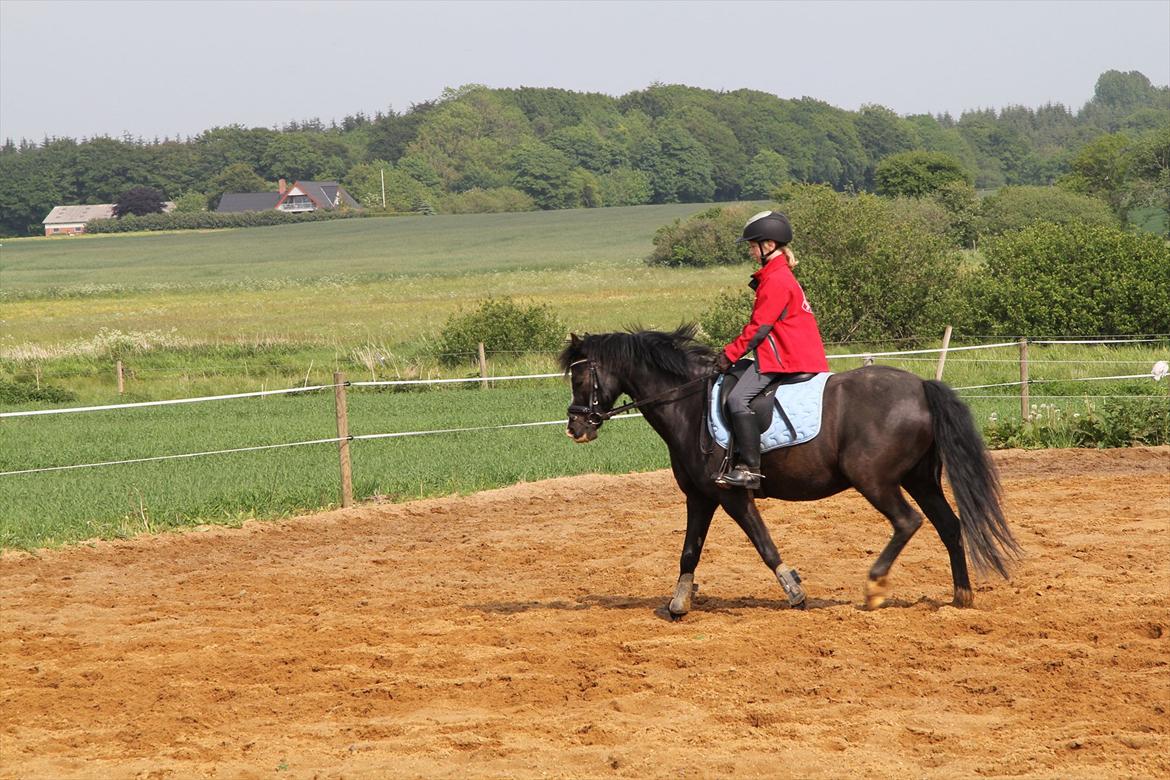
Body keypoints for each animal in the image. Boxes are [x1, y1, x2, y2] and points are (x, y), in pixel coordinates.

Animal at [561, 327, 1020, 617]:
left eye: (581, 377)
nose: (575, 428)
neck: (688, 404)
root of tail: (921, 386)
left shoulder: (731, 495)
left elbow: (764, 545)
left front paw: (795, 592)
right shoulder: (700, 496)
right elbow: (689, 550)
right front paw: (678, 605)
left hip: (874, 480)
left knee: (908, 522)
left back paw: (874, 588)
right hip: (920, 479)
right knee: (949, 525)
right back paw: (961, 597)